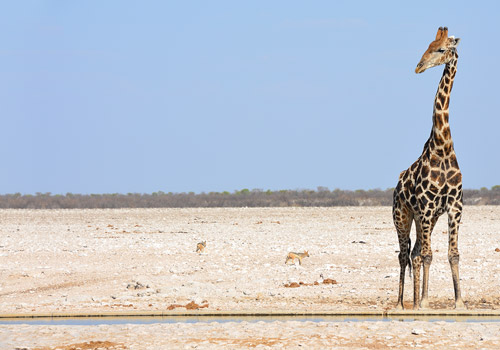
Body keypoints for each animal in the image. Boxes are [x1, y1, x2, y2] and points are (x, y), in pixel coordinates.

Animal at [392, 28, 466, 312]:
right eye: (427, 46)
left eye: (440, 49)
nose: (418, 66)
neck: (443, 146)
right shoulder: (425, 207)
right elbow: (427, 254)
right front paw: (424, 301)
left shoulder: (453, 206)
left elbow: (452, 254)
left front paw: (459, 302)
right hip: (402, 215)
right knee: (404, 254)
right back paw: (402, 304)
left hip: (427, 218)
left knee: (412, 253)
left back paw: (412, 303)